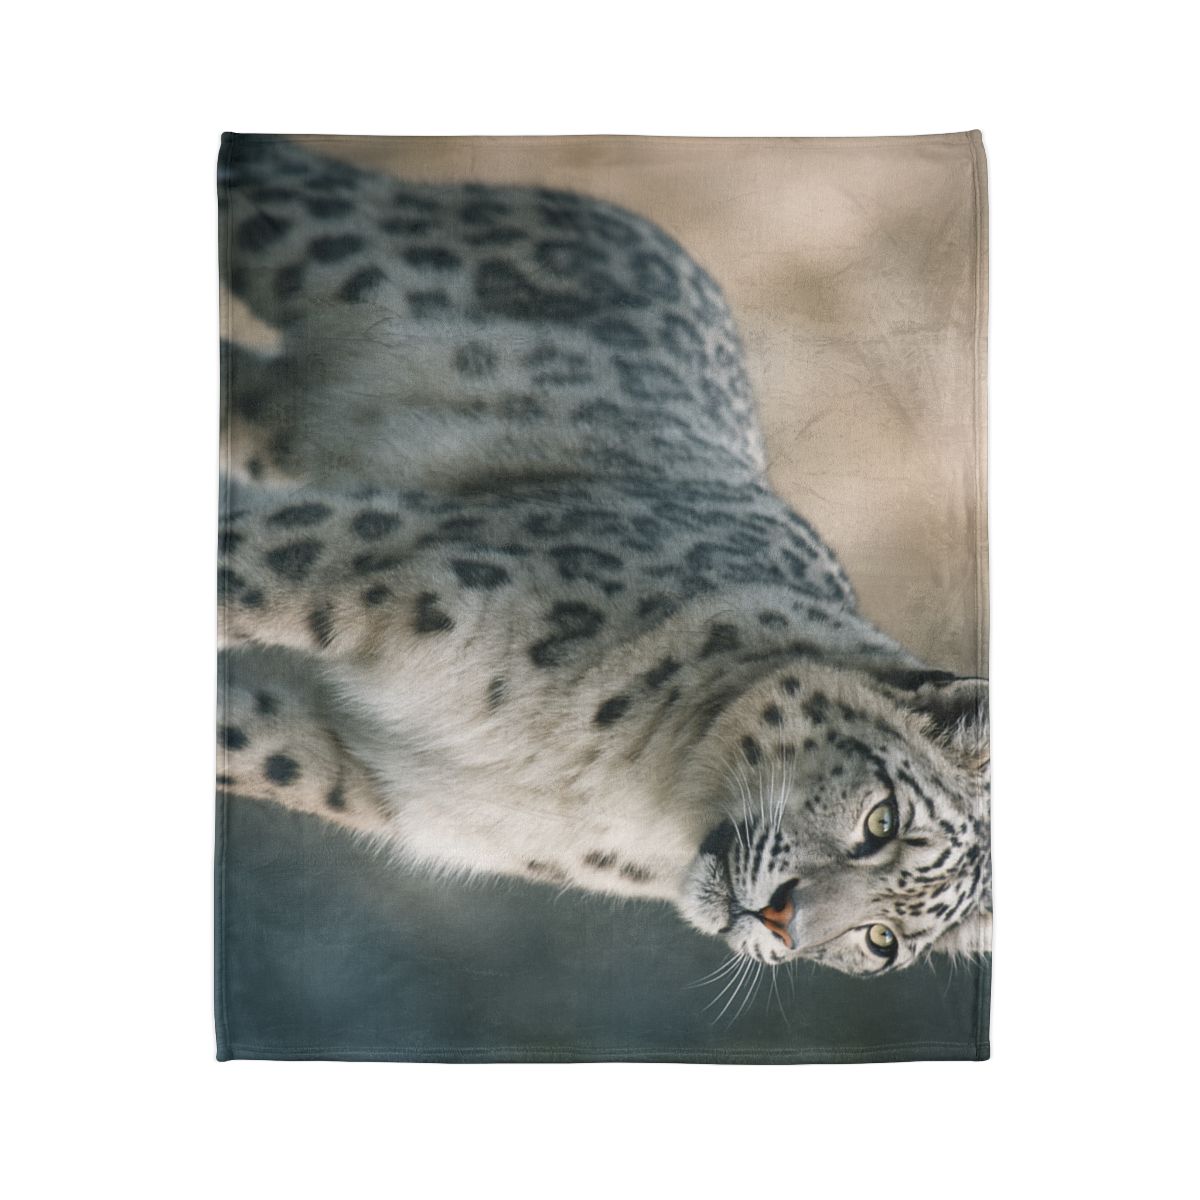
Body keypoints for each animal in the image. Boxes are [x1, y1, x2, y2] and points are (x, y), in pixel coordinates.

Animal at [217, 134, 991, 979]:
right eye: (883, 820)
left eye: (882, 941)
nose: (784, 922)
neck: (626, 788)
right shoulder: (382, 561)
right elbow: (236, 576)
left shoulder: (363, 768)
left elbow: (242, 742)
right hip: (326, 241)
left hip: (281, 420)